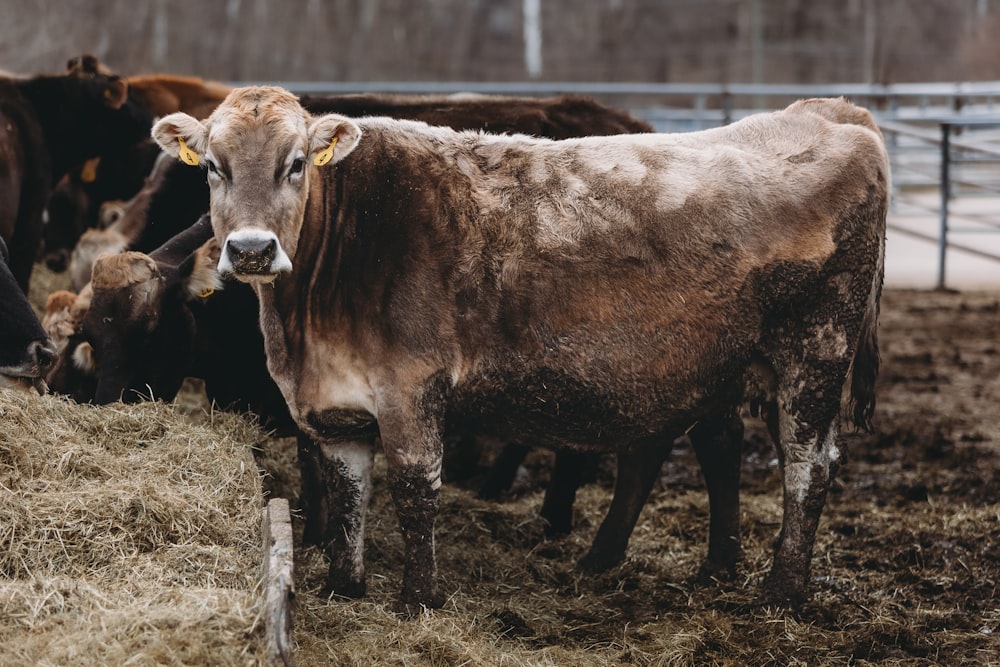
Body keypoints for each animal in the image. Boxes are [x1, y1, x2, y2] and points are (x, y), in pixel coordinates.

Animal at [152, 90, 888, 616]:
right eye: (213, 167)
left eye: (296, 163)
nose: (251, 249)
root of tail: (829, 112)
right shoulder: (335, 407)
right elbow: (348, 490)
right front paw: (343, 584)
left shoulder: (411, 386)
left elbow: (416, 486)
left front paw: (418, 598)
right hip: (719, 367)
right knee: (712, 447)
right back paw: (702, 567)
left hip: (815, 353)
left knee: (808, 466)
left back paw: (782, 592)